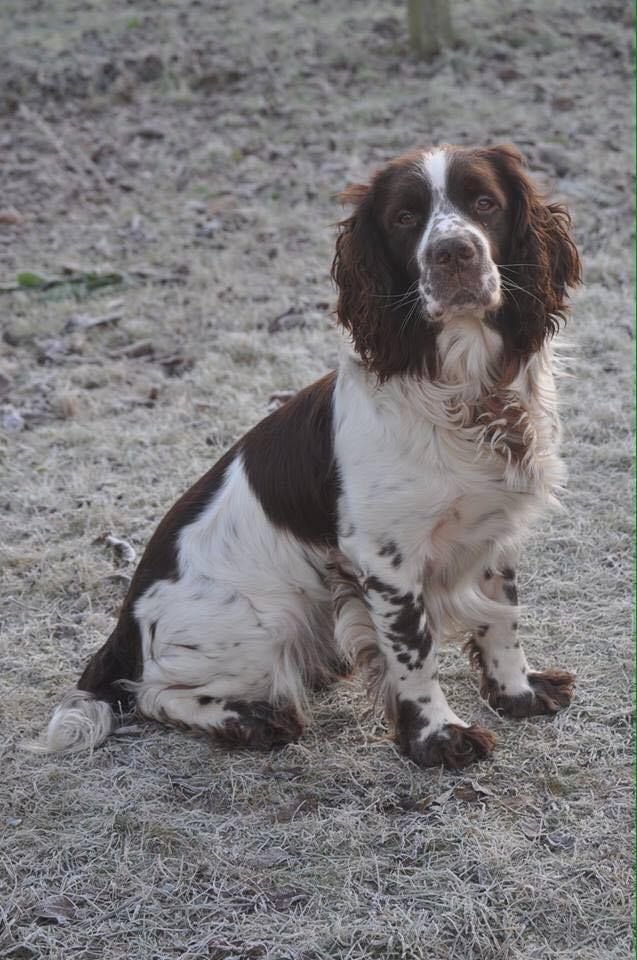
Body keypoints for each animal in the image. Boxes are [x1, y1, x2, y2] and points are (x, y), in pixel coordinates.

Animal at [34, 144, 580, 772]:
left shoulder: (495, 529)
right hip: (268, 620)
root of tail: (122, 627)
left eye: (484, 202)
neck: (465, 391)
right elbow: (414, 652)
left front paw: (518, 693)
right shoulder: (385, 557)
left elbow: (502, 620)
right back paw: (249, 720)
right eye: (404, 217)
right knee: (150, 691)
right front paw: (437, 737)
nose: (453, 253)